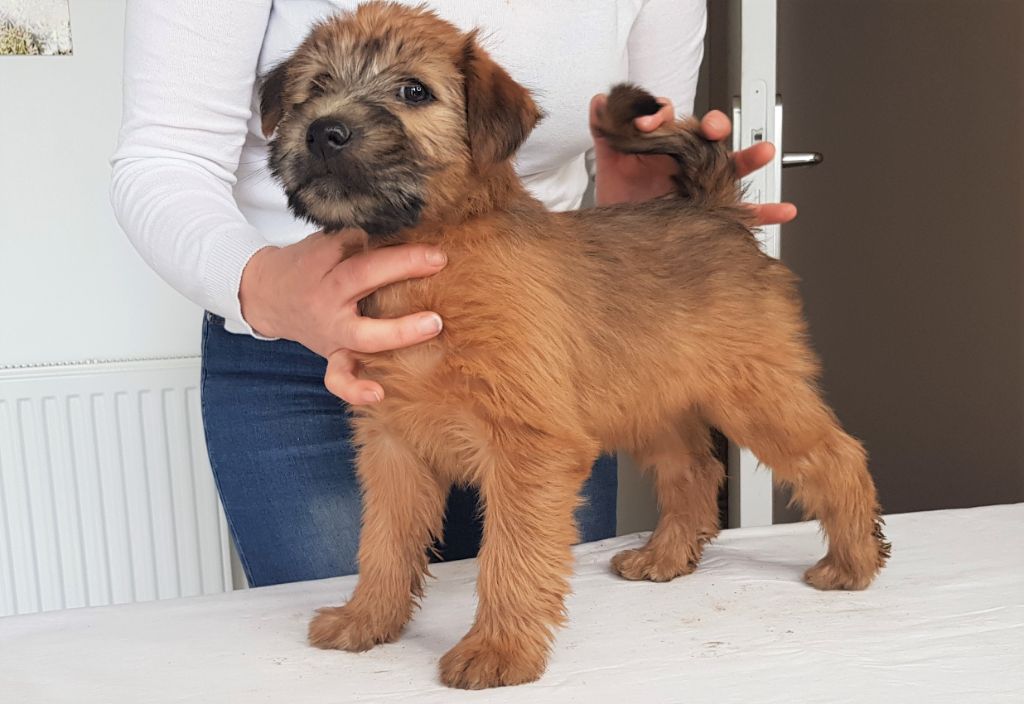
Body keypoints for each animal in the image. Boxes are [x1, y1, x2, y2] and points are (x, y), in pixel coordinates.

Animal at [259, 1, 890, 689]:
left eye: (413, 92)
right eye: (315, 87)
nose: (324, 131)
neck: (435, 253)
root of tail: (717, 211)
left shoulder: (528, 446)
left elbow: (510, 556)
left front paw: (498, 650)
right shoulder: (394, 445)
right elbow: (383, 544)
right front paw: (367, 620)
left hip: (757, 397)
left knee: (837, 455)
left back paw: (854, 561)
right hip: (654, 406)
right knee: (696, 471)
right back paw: (665, 557)